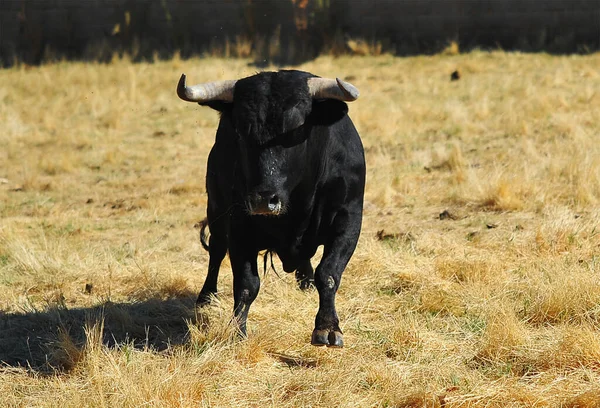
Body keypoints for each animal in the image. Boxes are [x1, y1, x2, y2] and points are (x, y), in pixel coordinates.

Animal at [177, 70, 366, 348]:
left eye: (295, 130)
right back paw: (207, 297)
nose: (263, 200)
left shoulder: (348, 219)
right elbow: (246, 284)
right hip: (216, 208)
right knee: (217, 251)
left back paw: (306, 281)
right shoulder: (239, 226)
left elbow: (329, 273)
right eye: (240, 132)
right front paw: (237, 330)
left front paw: (328, 327)